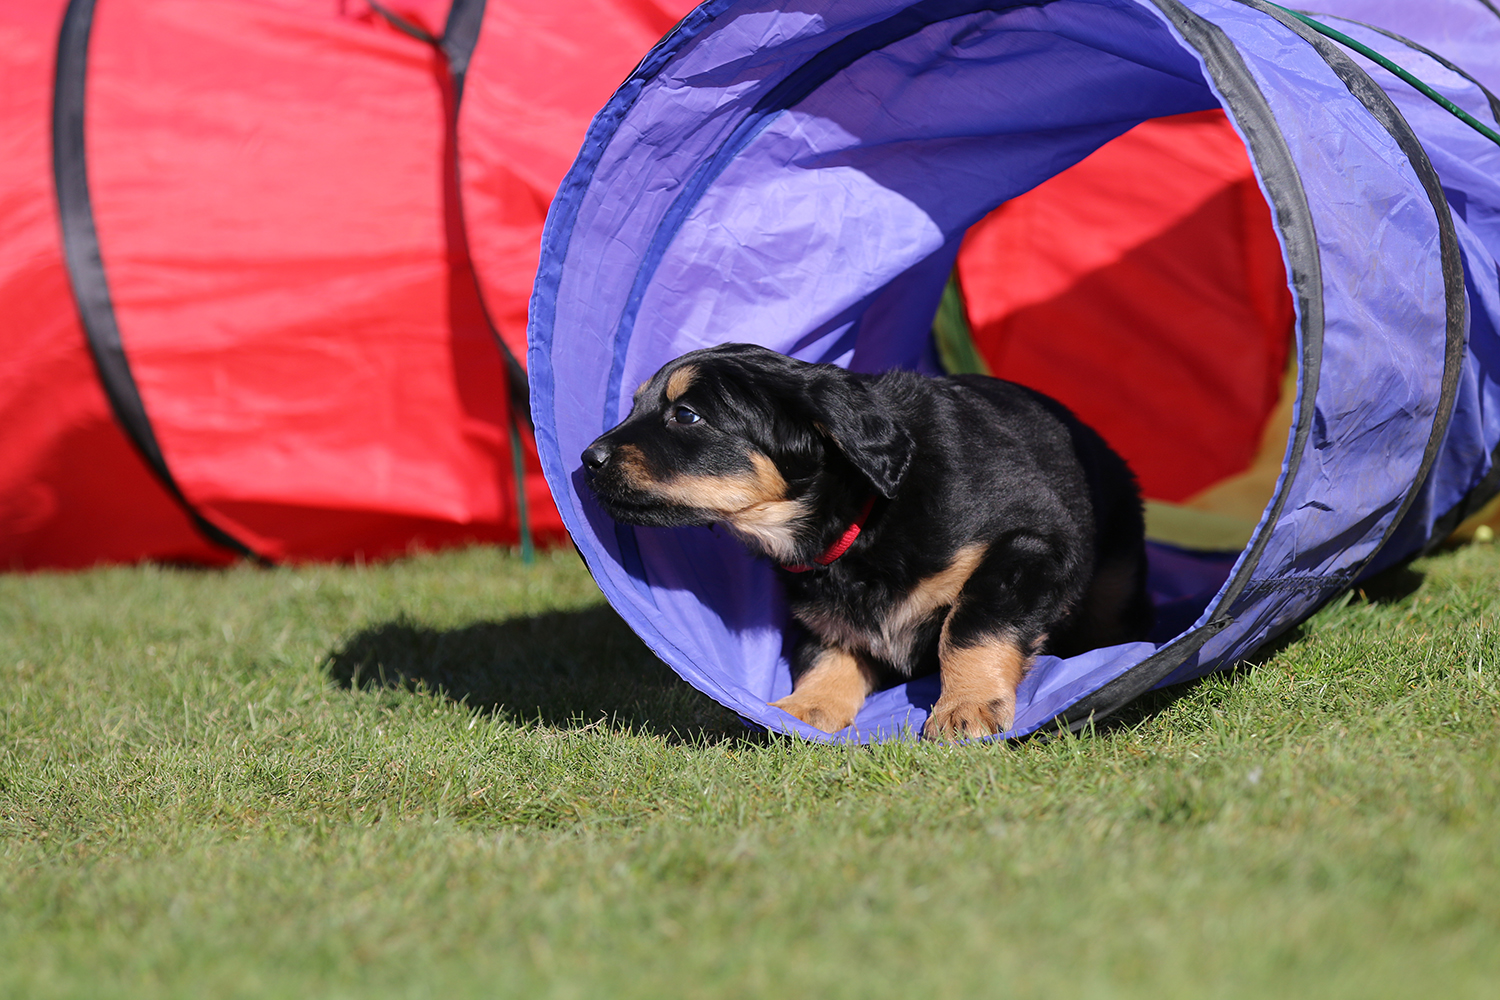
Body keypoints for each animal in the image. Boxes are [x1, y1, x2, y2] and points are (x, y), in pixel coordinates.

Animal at [580, 343, 1152, 740]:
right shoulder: (822, 605)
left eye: (687, 414)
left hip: (1115, 571)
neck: (863, 515)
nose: (587, 460)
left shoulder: (1030, 544)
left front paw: (965, 708)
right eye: (636, 405)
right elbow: (830, 651)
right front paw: (802, 710)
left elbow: (969, 625)